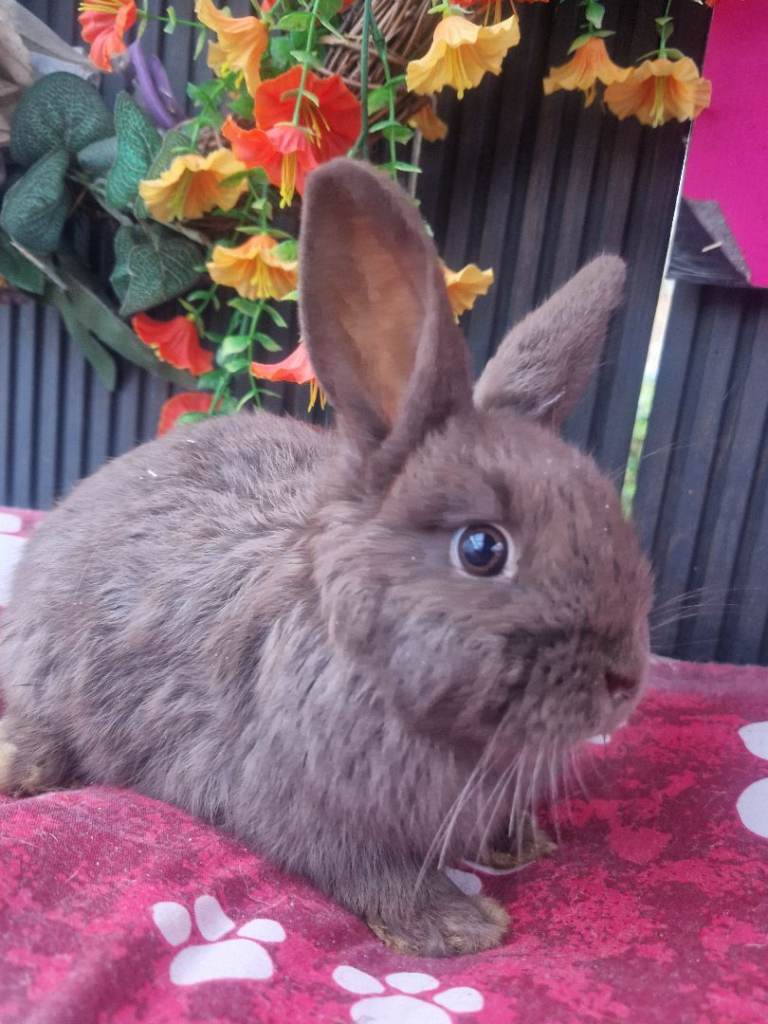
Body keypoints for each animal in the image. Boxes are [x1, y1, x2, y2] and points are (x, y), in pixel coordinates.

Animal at [0, 158, 652, 957]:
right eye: (482, 548)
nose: (625, 682)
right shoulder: (303, 805)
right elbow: (368, 869)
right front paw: (459, 926)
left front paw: (519, 843)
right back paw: (22, 767)